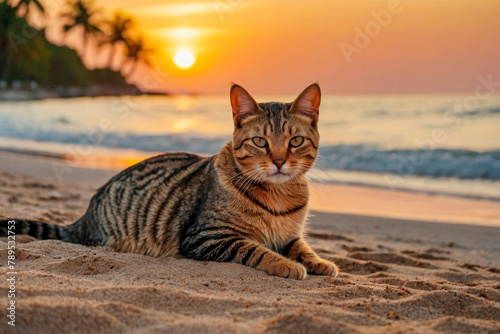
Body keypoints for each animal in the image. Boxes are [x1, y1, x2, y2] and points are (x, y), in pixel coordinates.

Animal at [0, 83, 340, 280]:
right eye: (260, 141)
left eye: (295, 141)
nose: (280, 161)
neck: (279, 195)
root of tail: (85, 216)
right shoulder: (207, 237)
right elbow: (255, 249)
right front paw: (286, 265)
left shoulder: (289, 235)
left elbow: (302, 246)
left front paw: (319, 262)